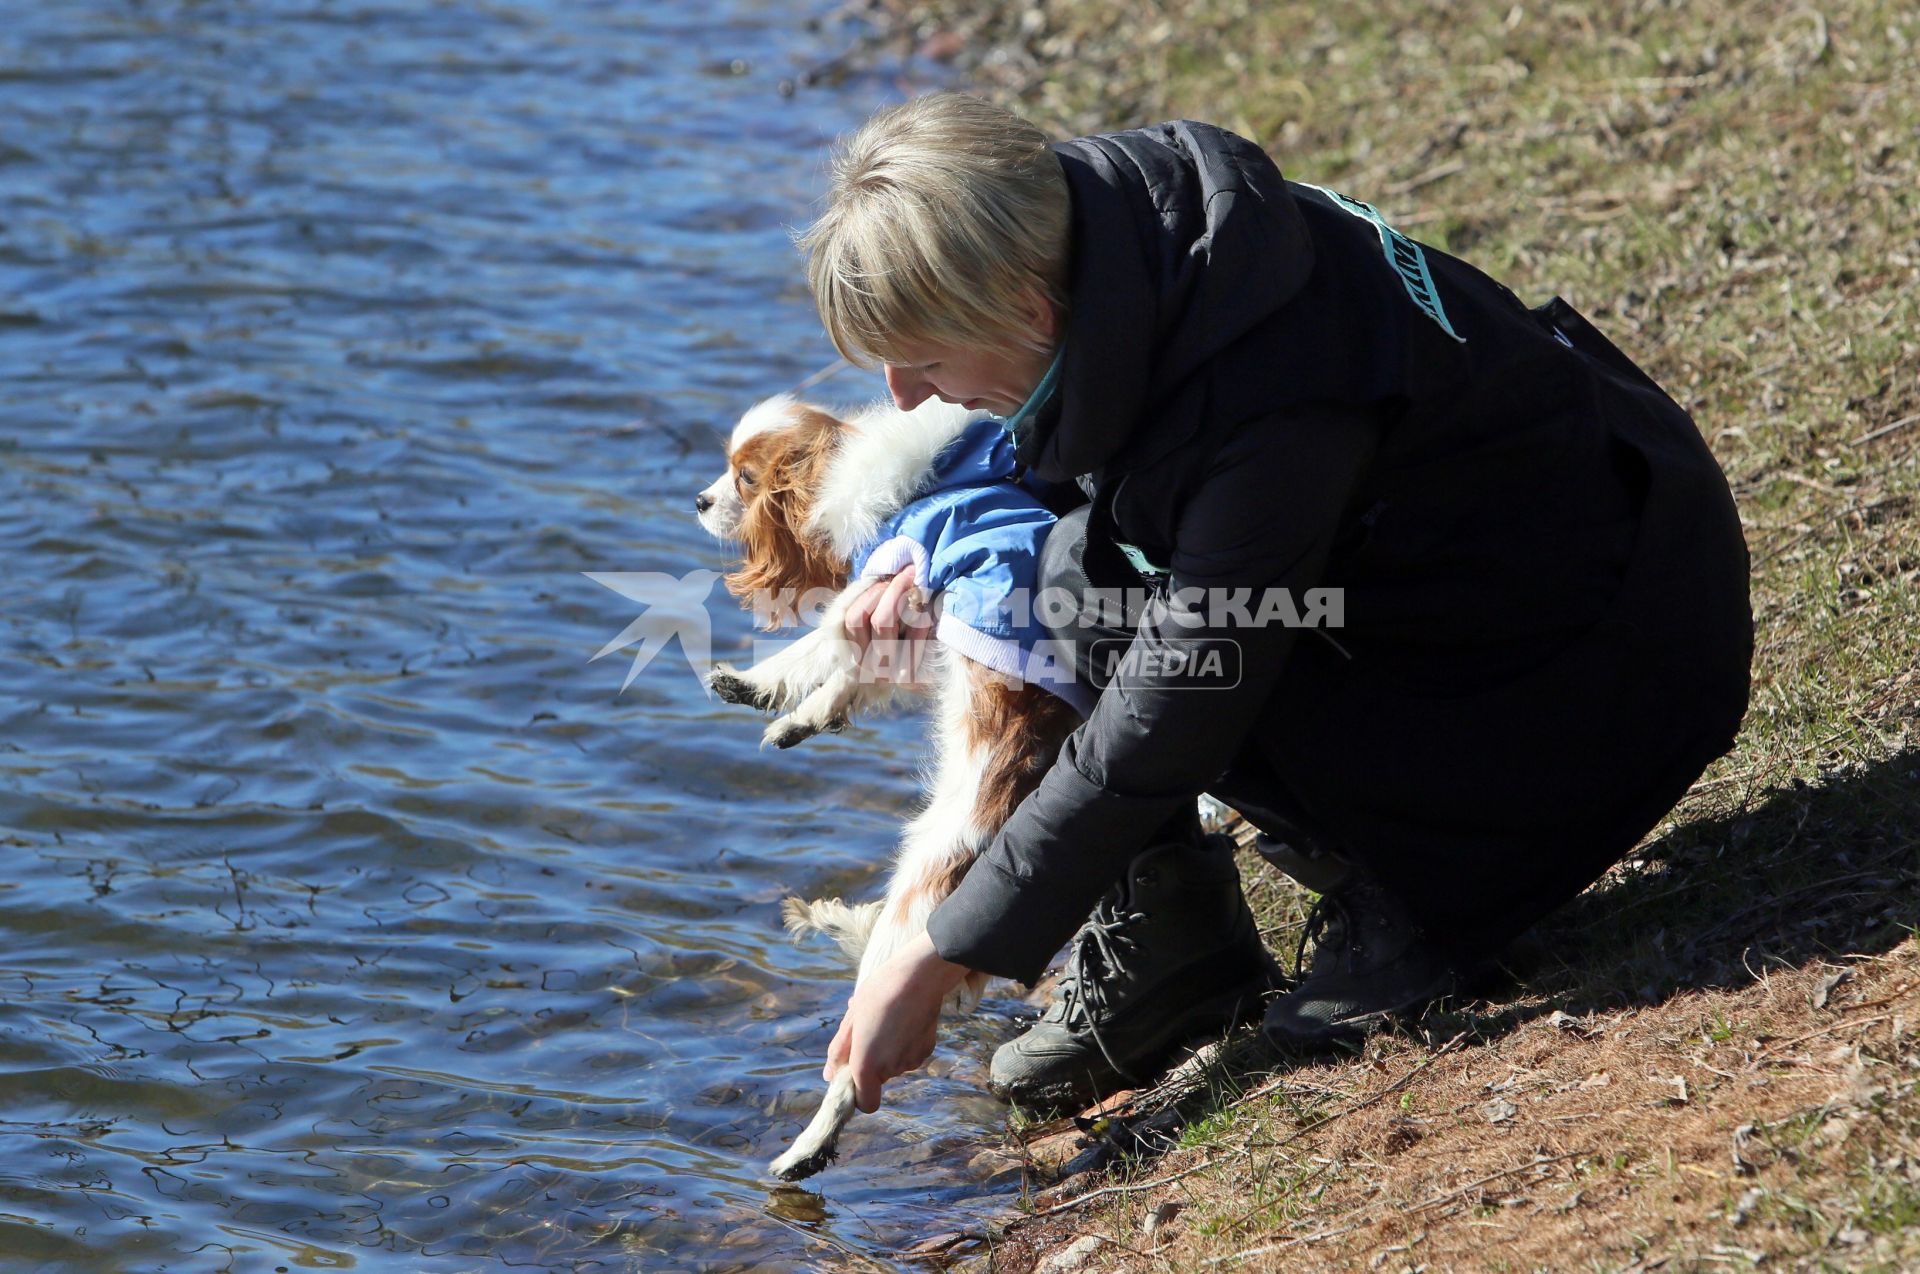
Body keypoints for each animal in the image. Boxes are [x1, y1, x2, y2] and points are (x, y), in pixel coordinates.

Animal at [691, 393, 1090, 1181]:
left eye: (744, 478)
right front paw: (805, 718)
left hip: (913, 918)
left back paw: (807, 1149)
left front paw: (751, 684)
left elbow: (815, 649)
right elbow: (849, 677)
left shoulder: (881, 585)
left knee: (855, 1068)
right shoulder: (901, 618)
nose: (700, 500)